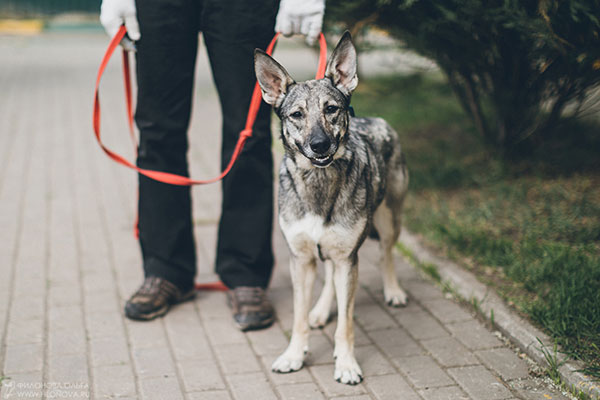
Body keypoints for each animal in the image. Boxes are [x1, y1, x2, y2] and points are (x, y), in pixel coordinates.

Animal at [255, 32, 410, 386]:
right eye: (296, 115)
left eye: (332, 109)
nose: (320, 145)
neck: (318, 182)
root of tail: (378, 120)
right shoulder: (301, 259)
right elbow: (298, 318)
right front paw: (294, 355)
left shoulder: (347, 258)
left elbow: (347, 324)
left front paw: (347, 364)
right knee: (329, 278)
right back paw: (321, 310)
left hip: (388, 220)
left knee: (386, 255)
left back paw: (393, 290)